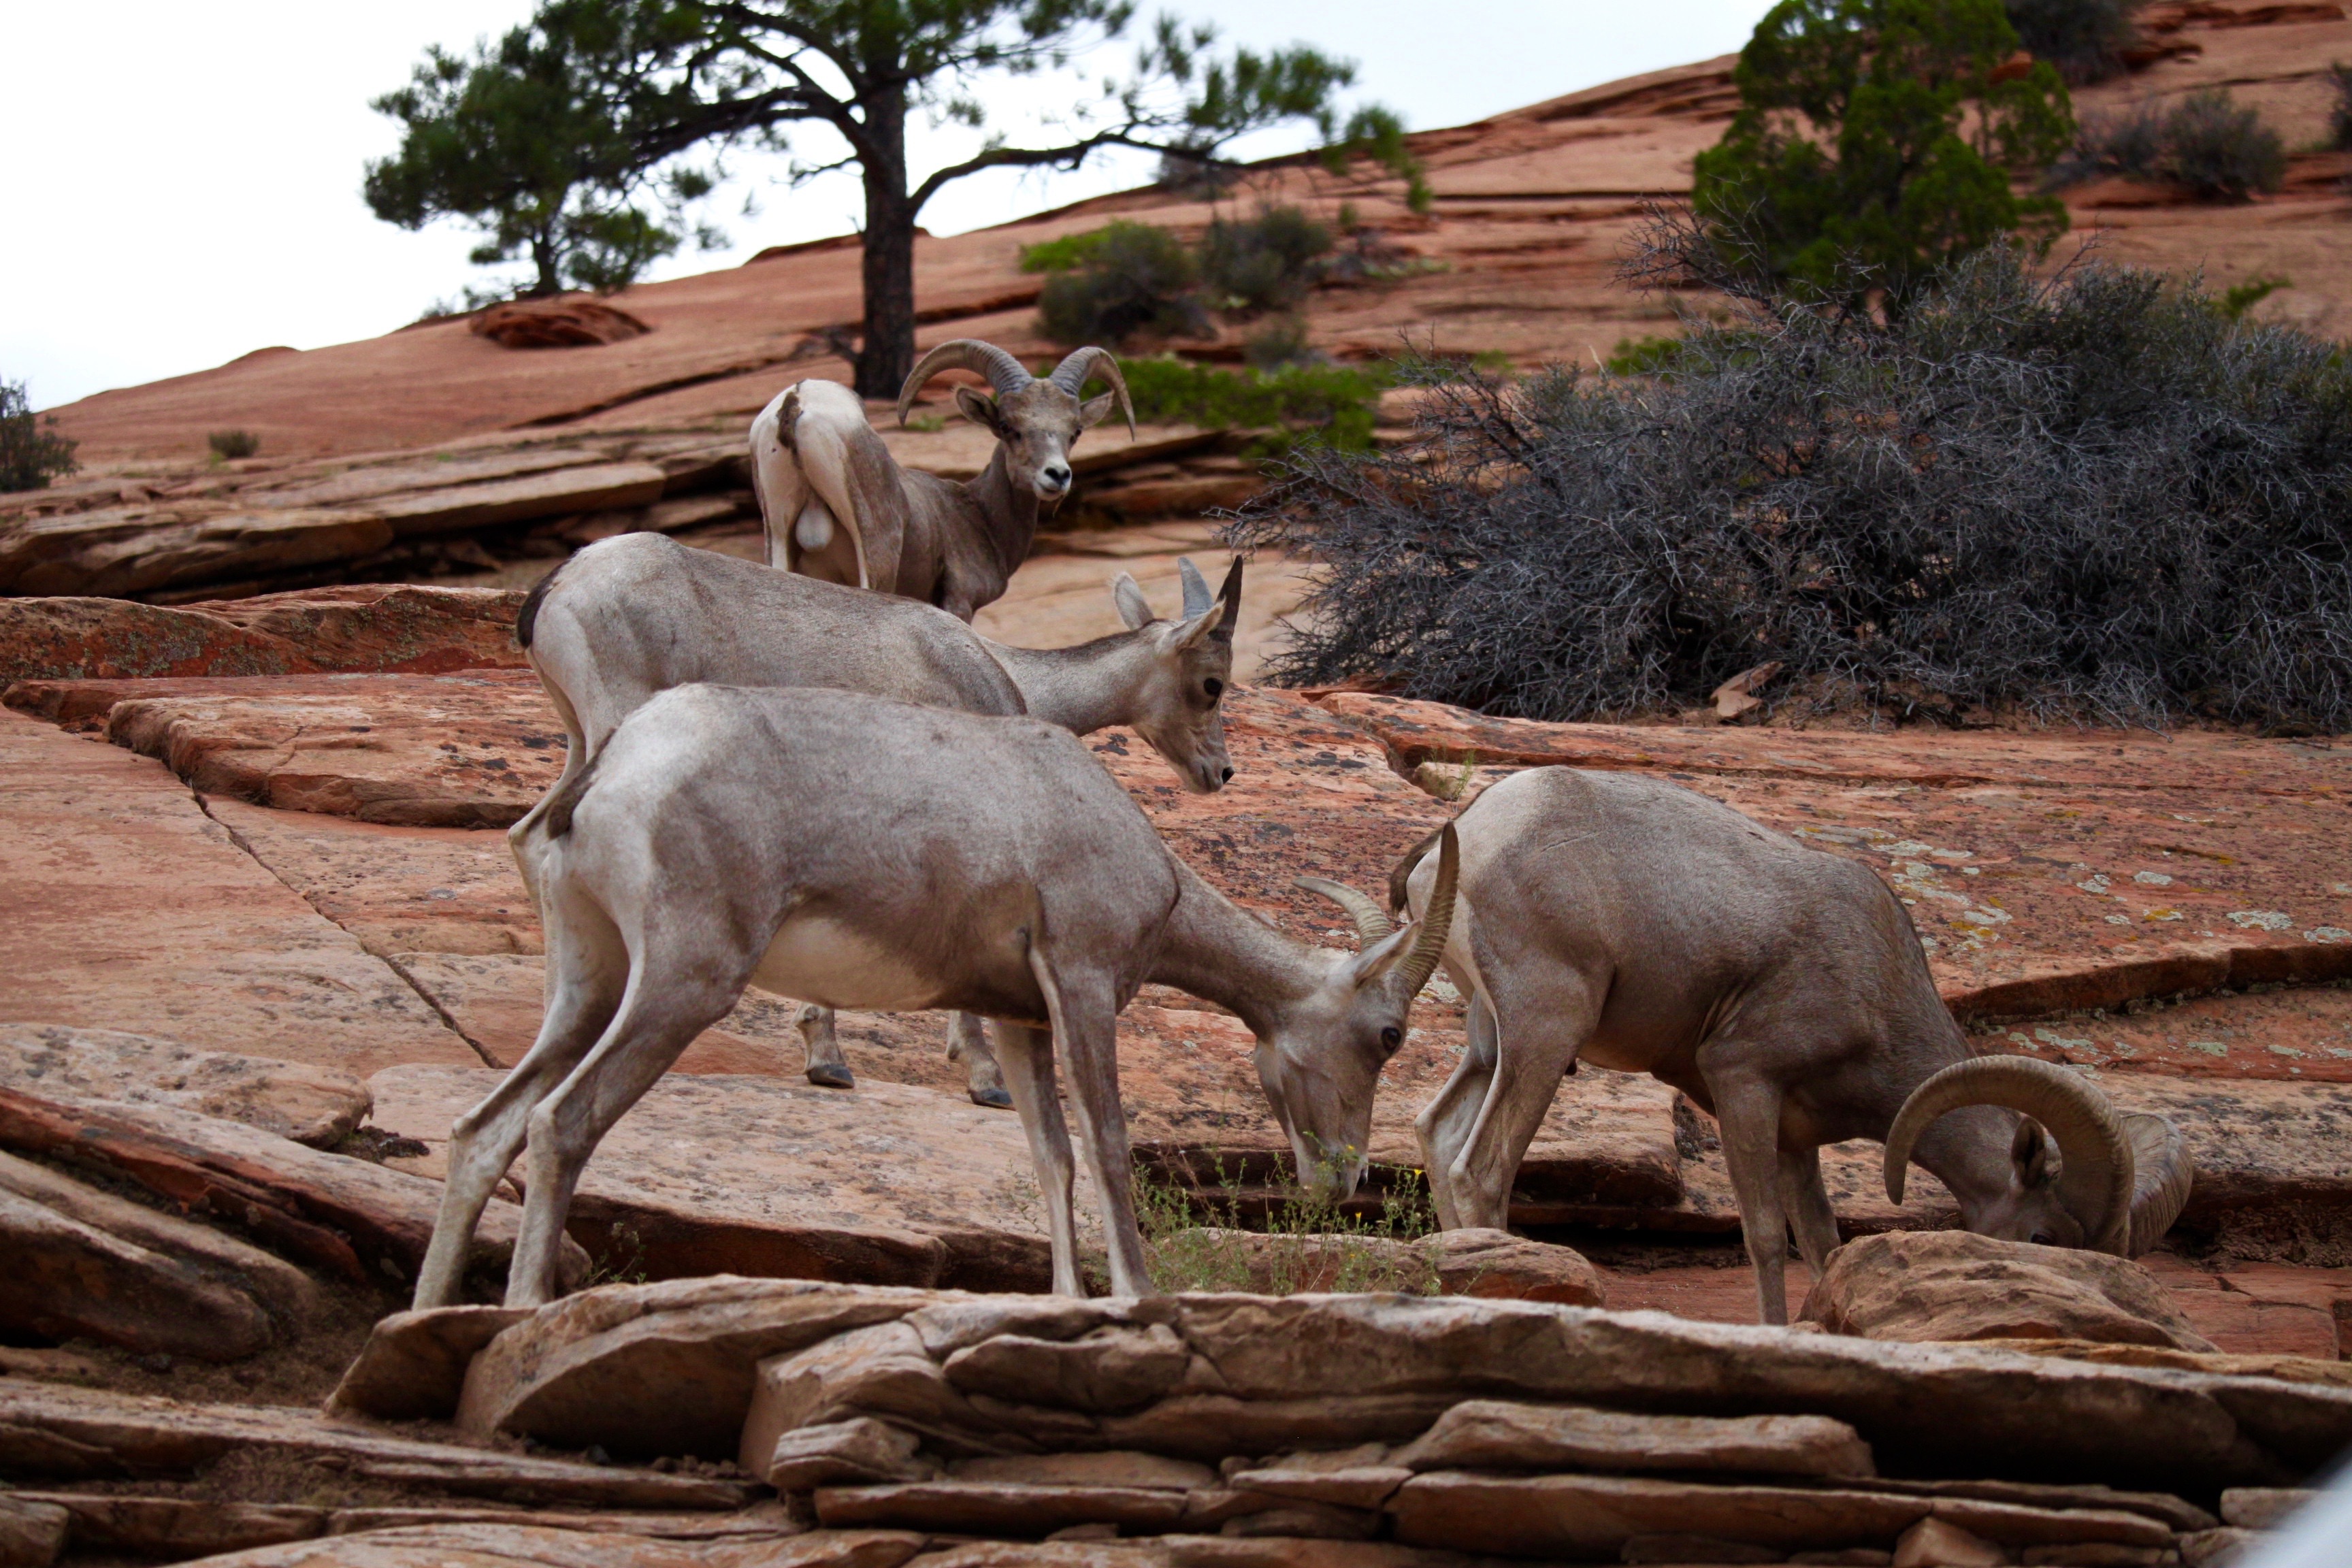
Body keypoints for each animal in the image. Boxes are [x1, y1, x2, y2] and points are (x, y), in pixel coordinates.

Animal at [413, 684, 1457, 1308]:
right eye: (1389, 1033)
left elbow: (1051, 1163)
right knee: (560, 1121)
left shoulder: (1019, 1018)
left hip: (592, 982)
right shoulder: (1081, 988)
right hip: (683, 983)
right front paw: (1137, 1300)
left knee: (482, 1130)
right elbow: (1108, 1150)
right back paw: (523, 1315)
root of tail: (622, 758)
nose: (1342, 1180)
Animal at [508, 531, 1244, 1106]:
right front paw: (981, 1077)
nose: (1220, 772)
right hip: (616, 723)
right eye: (1211, 685)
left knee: (530, 833)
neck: (999, 670)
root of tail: (558, 587)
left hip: (579, 737)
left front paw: (827, 1058)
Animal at [751, 340, 1132, 621]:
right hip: (875, 557)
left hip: (779, 541)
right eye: (1008, 426)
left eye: (1075, 431)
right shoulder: (959, 603)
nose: (1057, 475)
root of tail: (798, 402)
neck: (979, 516)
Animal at [1383, 767, 2193, 1324]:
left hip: (1491, 1041)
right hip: (1548, 1033)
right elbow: (1768, 1237)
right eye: (2046, 1236)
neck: (1875, 992)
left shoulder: (1798, 1141)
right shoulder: (1744, 1085)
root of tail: (1464, 838)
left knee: (1437, 1131)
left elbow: (1824, 1243)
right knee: (1481, 1168)